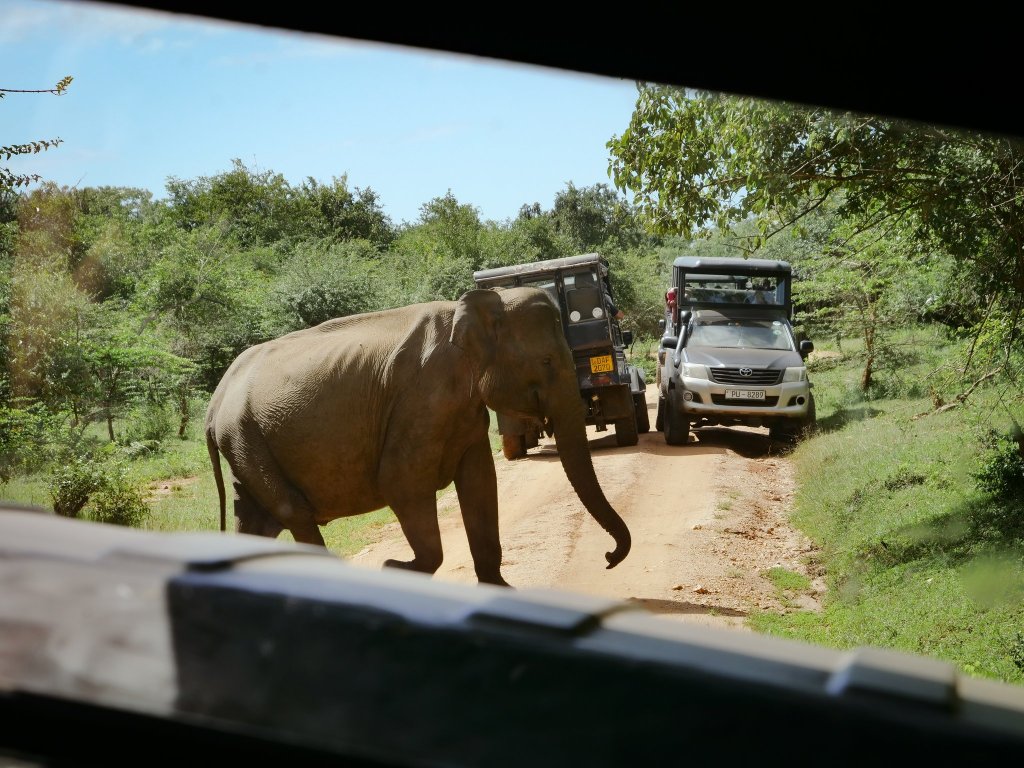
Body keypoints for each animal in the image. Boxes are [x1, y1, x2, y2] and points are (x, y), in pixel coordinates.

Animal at [205, 286, 632, 587]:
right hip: (245, 437)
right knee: (294, 512)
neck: (473, 307)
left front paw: (502, 593)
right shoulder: (423, 398)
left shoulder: (462, 408)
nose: (608, 558)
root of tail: (214, 403)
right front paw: (393, 567)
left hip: (246, 443)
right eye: (545, 361)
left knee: (255, 517)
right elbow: (402, 483)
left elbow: (480, 480)